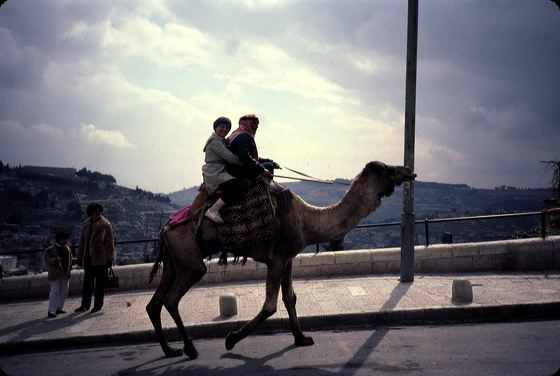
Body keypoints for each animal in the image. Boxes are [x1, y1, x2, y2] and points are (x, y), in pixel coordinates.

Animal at [145, 159, 416, 358]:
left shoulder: (288, 258)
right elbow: (270, 305)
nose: (409, 171)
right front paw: (231, 339)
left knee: (154, 304)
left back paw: (170, 350)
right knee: (171, 300)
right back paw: (190, 349)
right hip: (190, 260)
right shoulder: (276, 260)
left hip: (173, 261)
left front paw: (301, 337)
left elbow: (290, 298)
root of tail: (165, 228)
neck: (307, 220)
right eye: (386, 169)